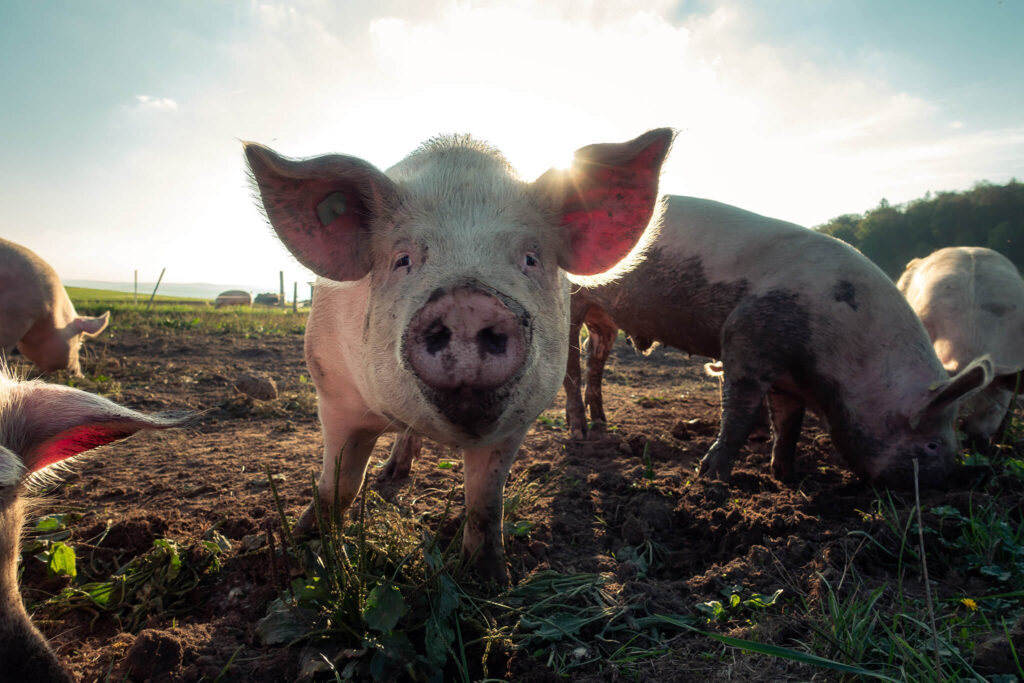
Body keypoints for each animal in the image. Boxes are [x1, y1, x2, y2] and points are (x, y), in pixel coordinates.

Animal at [245, 129, 673, 583]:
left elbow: (485, 502)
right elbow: (339, 484)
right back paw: (390, 475)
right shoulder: (333, 391)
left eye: (530, 258)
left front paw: (490, 580)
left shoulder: (518, 420)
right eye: (403, 259)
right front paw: (304, 549)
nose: (468, 302)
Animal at [561, 195, 994, 486]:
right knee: (569, 366)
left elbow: (789, 424)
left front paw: (787, 476)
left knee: (594, 359)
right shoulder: (746, 339)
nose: (946, 484)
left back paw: (602, 425)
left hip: (605, 319)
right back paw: (579, 433)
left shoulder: (790, 379)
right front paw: (710, 479)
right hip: (572, 301)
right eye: (932, 445)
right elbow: (738, 414)